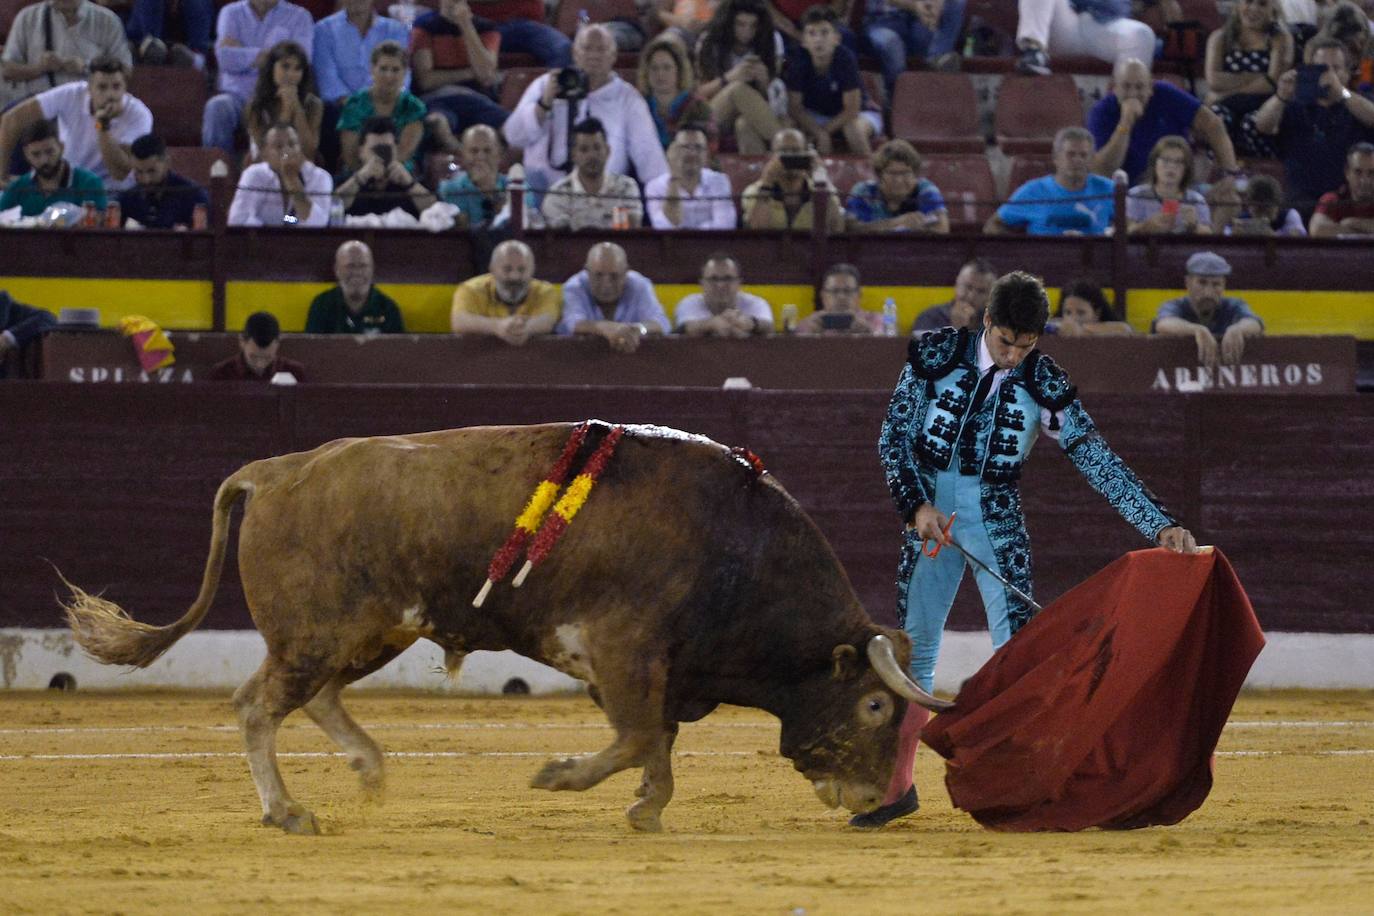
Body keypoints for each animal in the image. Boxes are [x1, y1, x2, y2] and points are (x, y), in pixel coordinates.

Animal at [61, 425, 945, 834]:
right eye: (875, 706)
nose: (872, 797)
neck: (736, 546)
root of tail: (274, 470)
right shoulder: (624, 651)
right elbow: (636, 737)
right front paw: (561, 779)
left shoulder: (658, 667)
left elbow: (655, 742)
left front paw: (646, 809)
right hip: (321, 633)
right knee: (258, 704)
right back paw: (289, 810)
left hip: (371, 631)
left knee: (309, 698)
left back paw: (369, 769)